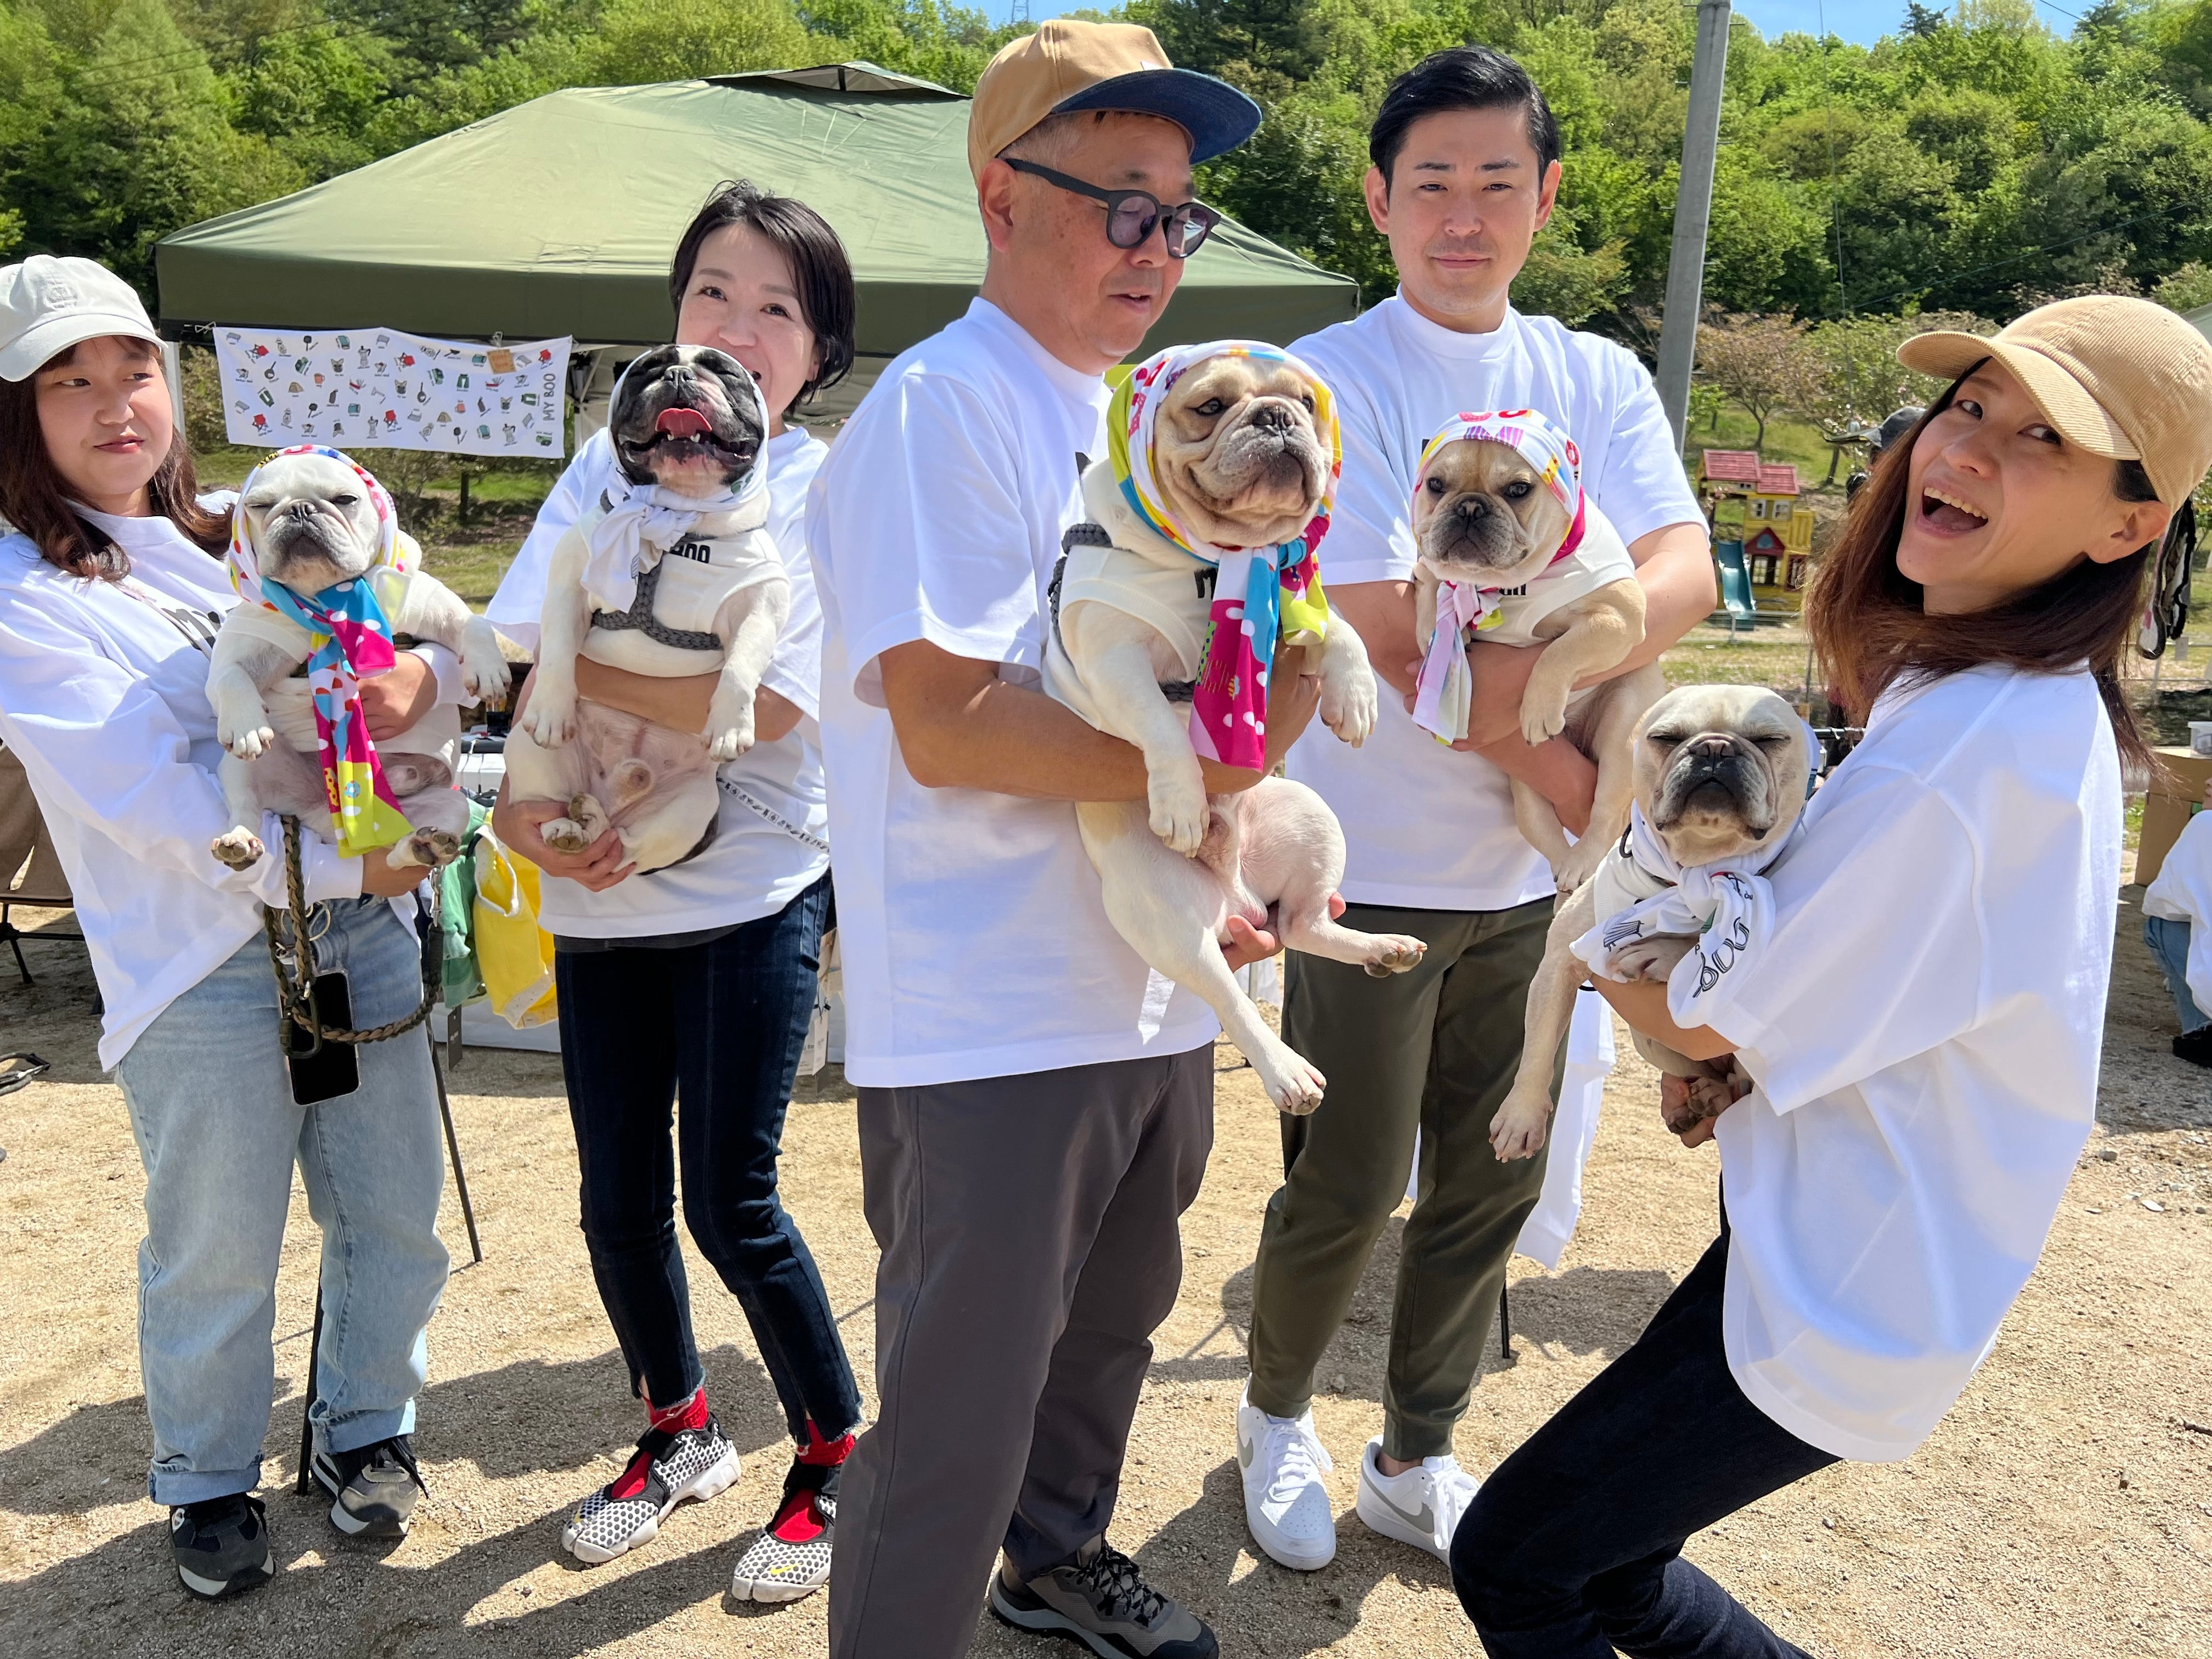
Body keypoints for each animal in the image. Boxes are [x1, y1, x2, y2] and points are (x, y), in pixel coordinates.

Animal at [207, 447, 506, 873]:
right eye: (260, 506)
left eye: (345, 500)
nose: (299, 509)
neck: (329, 600)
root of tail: (322, 818)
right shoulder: (244, 643)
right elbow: (229, 677)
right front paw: (245, 725)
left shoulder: (431, 605)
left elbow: (472, 622)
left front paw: (488, 668)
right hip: (241, 767)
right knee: (245, 807)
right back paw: (239, 841)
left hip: (449, 803)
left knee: (404, 852)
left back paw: (424, 846)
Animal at [502, 344, 789, 875]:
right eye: (648, 370)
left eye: (724, 372)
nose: (678, 374)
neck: (674, 518)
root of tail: (617, 793)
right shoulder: (568, 589)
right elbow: (556, 652)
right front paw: (552, 706)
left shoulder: (757, 608)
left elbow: (740, 667)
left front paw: (730, 725)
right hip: (528, 753)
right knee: (558, 810)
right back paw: (567, 828)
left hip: (692, 808)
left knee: (625, 847)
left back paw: (595, 820)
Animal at [1043, 341, 1426, 1116]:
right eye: (1211, 406)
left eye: (1306, 402)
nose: (1278, 416)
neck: (1222, 560)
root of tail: (1235, 892)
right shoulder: (1114, 655)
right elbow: (1159, 724)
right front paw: (1182, 802)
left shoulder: (1300, 599)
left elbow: (1342, 631)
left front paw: (1356, 695)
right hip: (1166, 920)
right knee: (1231, 996)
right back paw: (1286, 1071)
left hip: (1307, 816)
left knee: (1302, 924)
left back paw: (1381, 949)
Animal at [1410, 412, 1669, 896]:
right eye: (1435, 485)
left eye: (1518, 490)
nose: (1469, 507)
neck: (1504, 584)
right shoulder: (1427, 566)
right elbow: (1435, 584)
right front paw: (1433, 631)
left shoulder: (1620, 617)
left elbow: (1561, 650)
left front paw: (1538, 706)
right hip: (1525, 782)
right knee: (1543, 830)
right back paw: (1565, 871)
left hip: (1623, 735)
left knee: (1607, 815)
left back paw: (1582, 865)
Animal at [1488, 685, 1816, 1160]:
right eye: (1666, 738)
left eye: (1770, 740)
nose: (1715, 748)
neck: (1696, 867)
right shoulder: (1558, 964)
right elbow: (1538, 1044)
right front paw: (1520, 1116)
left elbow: (1698, 945)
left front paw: (1660, 952)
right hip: (1653, 1043)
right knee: (1713, 1077)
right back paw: (1700, 1099)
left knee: (1742, 1080)